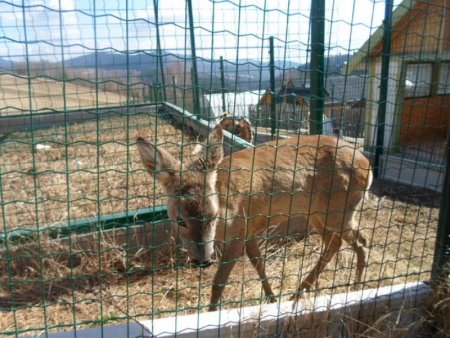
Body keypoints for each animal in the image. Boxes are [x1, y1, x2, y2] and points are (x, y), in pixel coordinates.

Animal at [137, 124, 372, 312]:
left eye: (213, 216)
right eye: (180, 221)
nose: (202, 261)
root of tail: (368, 165)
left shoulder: (238, 232)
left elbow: (219, 283)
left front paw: (210, 313)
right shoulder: (248, 230)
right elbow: (258, 264)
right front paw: (272, 299)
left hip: (339, 210)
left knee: (361, 240)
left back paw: (355, 287)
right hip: (316, 213)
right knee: (335, 242)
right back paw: (298, 292)